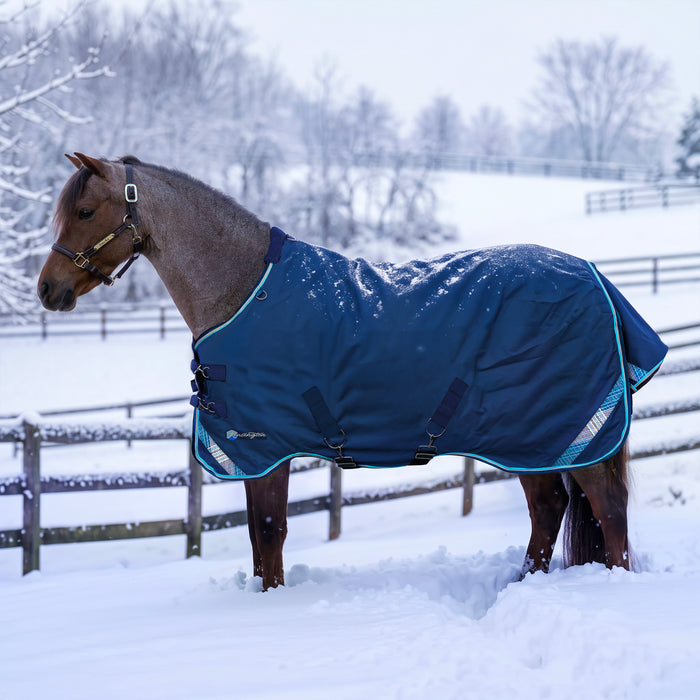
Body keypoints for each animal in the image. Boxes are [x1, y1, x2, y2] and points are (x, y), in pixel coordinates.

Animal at [38, 153, 666, 590]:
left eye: (85, 212)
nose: (48, 290)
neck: (244, 290)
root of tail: (595, 278)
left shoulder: (267, 448)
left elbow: (269, 533)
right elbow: (260, 538)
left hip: (567, 436)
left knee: (607, 510)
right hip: (530, 439)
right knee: (548, 509)